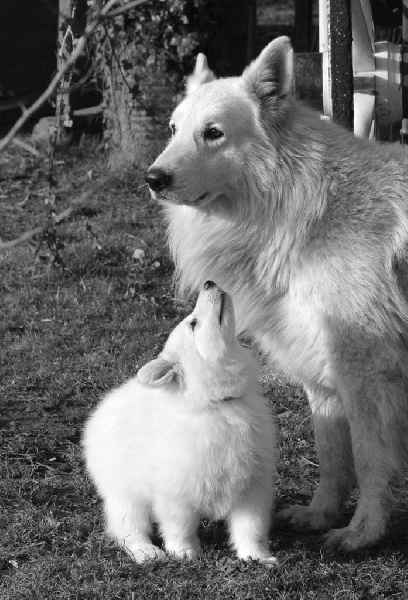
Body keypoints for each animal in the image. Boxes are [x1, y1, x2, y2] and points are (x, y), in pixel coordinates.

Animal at [81, 280, 276, 564]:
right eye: (193, 324)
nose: (209, 282)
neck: (216, 404)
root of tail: (106, 404)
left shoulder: (252, 488)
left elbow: (251, 528)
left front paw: (257, 557)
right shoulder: (176, 493)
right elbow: (180, 525)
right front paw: (184, 552)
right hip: (124, 492)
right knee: (128, 528)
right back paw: (147, 553)